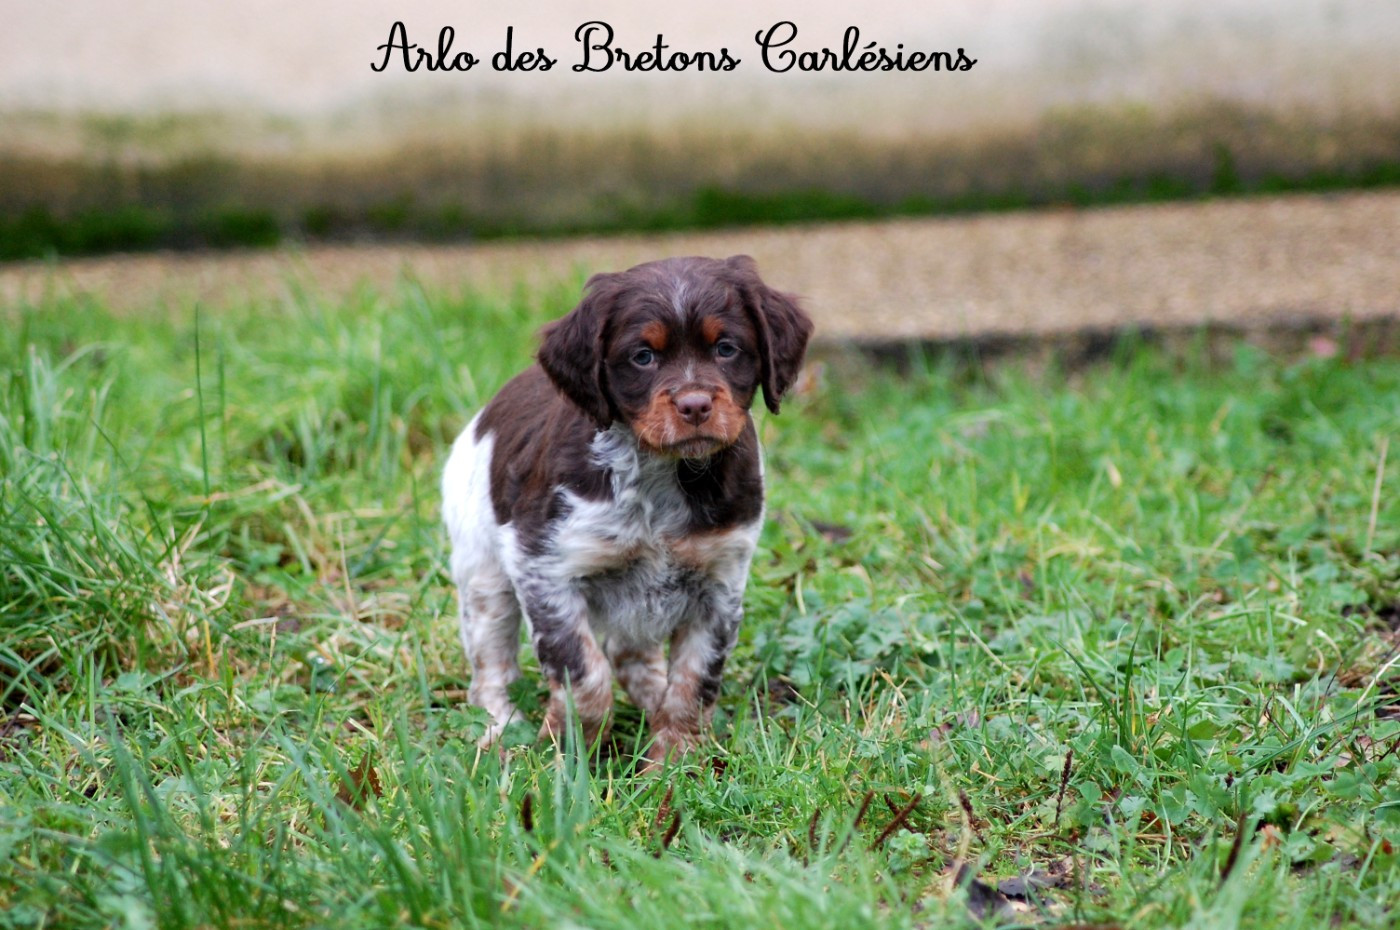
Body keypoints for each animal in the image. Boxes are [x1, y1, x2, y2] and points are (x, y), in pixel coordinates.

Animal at [442, 255, 812, 763]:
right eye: (643, 357)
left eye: (726, 349)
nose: (695, 405)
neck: (663, 472)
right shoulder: (544, 565)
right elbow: (584, 674)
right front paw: (569, 752)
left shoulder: (720, 584)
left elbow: (693, 682)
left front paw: (675, 761)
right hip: (483, 572)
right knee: (491, 666)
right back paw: (499, 729)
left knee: (630, 652)